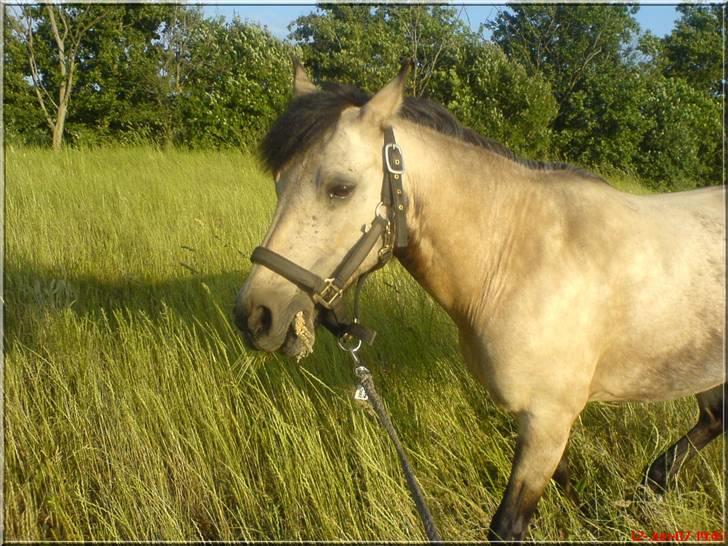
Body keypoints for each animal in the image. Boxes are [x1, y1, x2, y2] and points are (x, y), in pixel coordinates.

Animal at [234, 61, 725, 541]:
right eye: (279, 185)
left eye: (340, 188)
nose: (256, 316)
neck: (518, 258)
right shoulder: (541, 421)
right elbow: (565, 481)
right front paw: (593, 514)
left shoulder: (549, 417)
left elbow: (507, 525)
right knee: (714, 418)